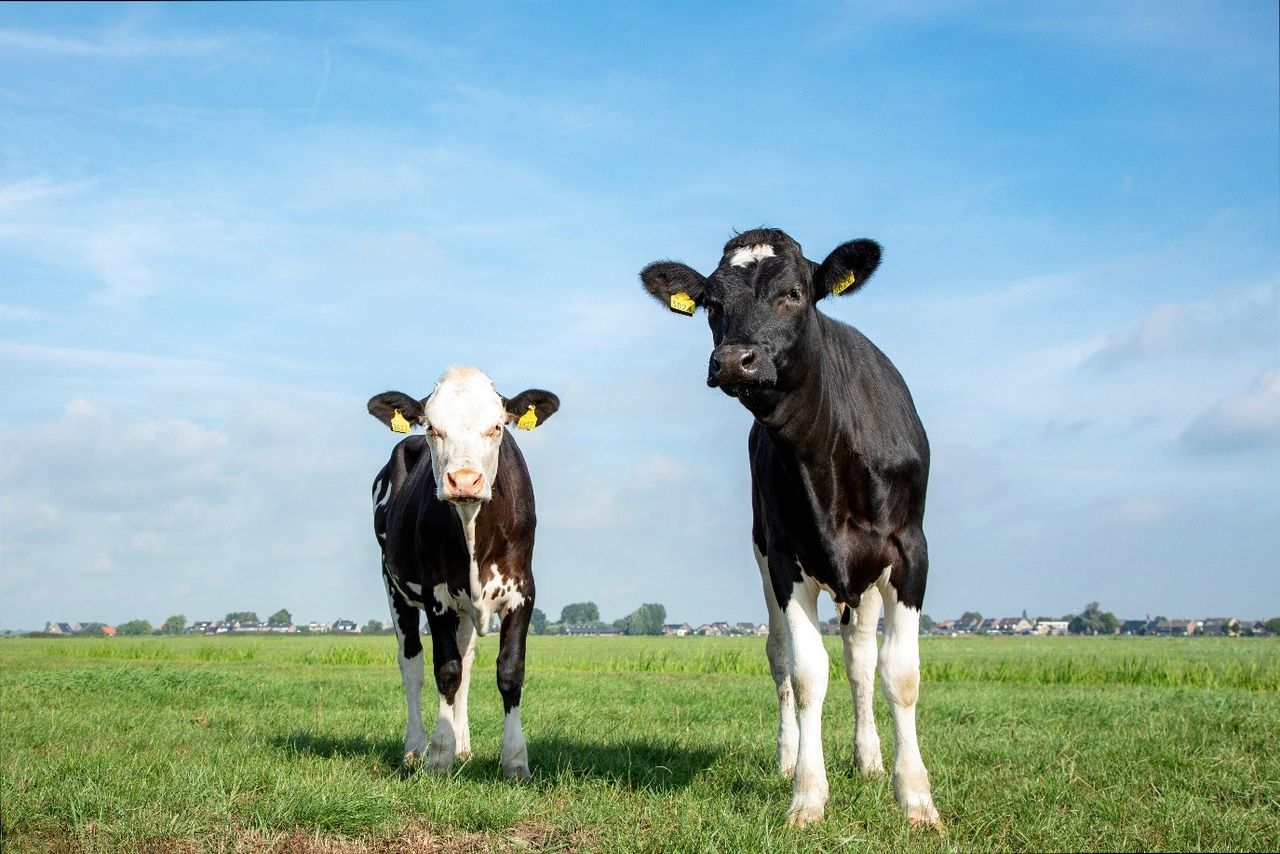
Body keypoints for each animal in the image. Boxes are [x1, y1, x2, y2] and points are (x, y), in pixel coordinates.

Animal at [367, 365, 559, 781]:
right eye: (432, 428)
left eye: (497, 427)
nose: (465, 480)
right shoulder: (436, 594)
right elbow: (446, 670)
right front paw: (439, 754)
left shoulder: (523, 591)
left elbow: (509, 670)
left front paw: (514, 760)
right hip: (393, 586)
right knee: (412, 665)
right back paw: (415, 748)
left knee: (468, 663)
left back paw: (464, 746)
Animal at [639, 229, 942, 829]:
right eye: (712, 304)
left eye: (795, 293)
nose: (734, 361)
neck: (825, 457)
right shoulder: (784, 559)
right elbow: (805, 674)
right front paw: (807, 793)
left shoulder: (909, 552)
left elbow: (899, 673)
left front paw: (916, 799)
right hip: (764, 557)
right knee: (781, 658)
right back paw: (788, 756)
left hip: (865, 579)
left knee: (860, 661)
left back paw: (869, 759)